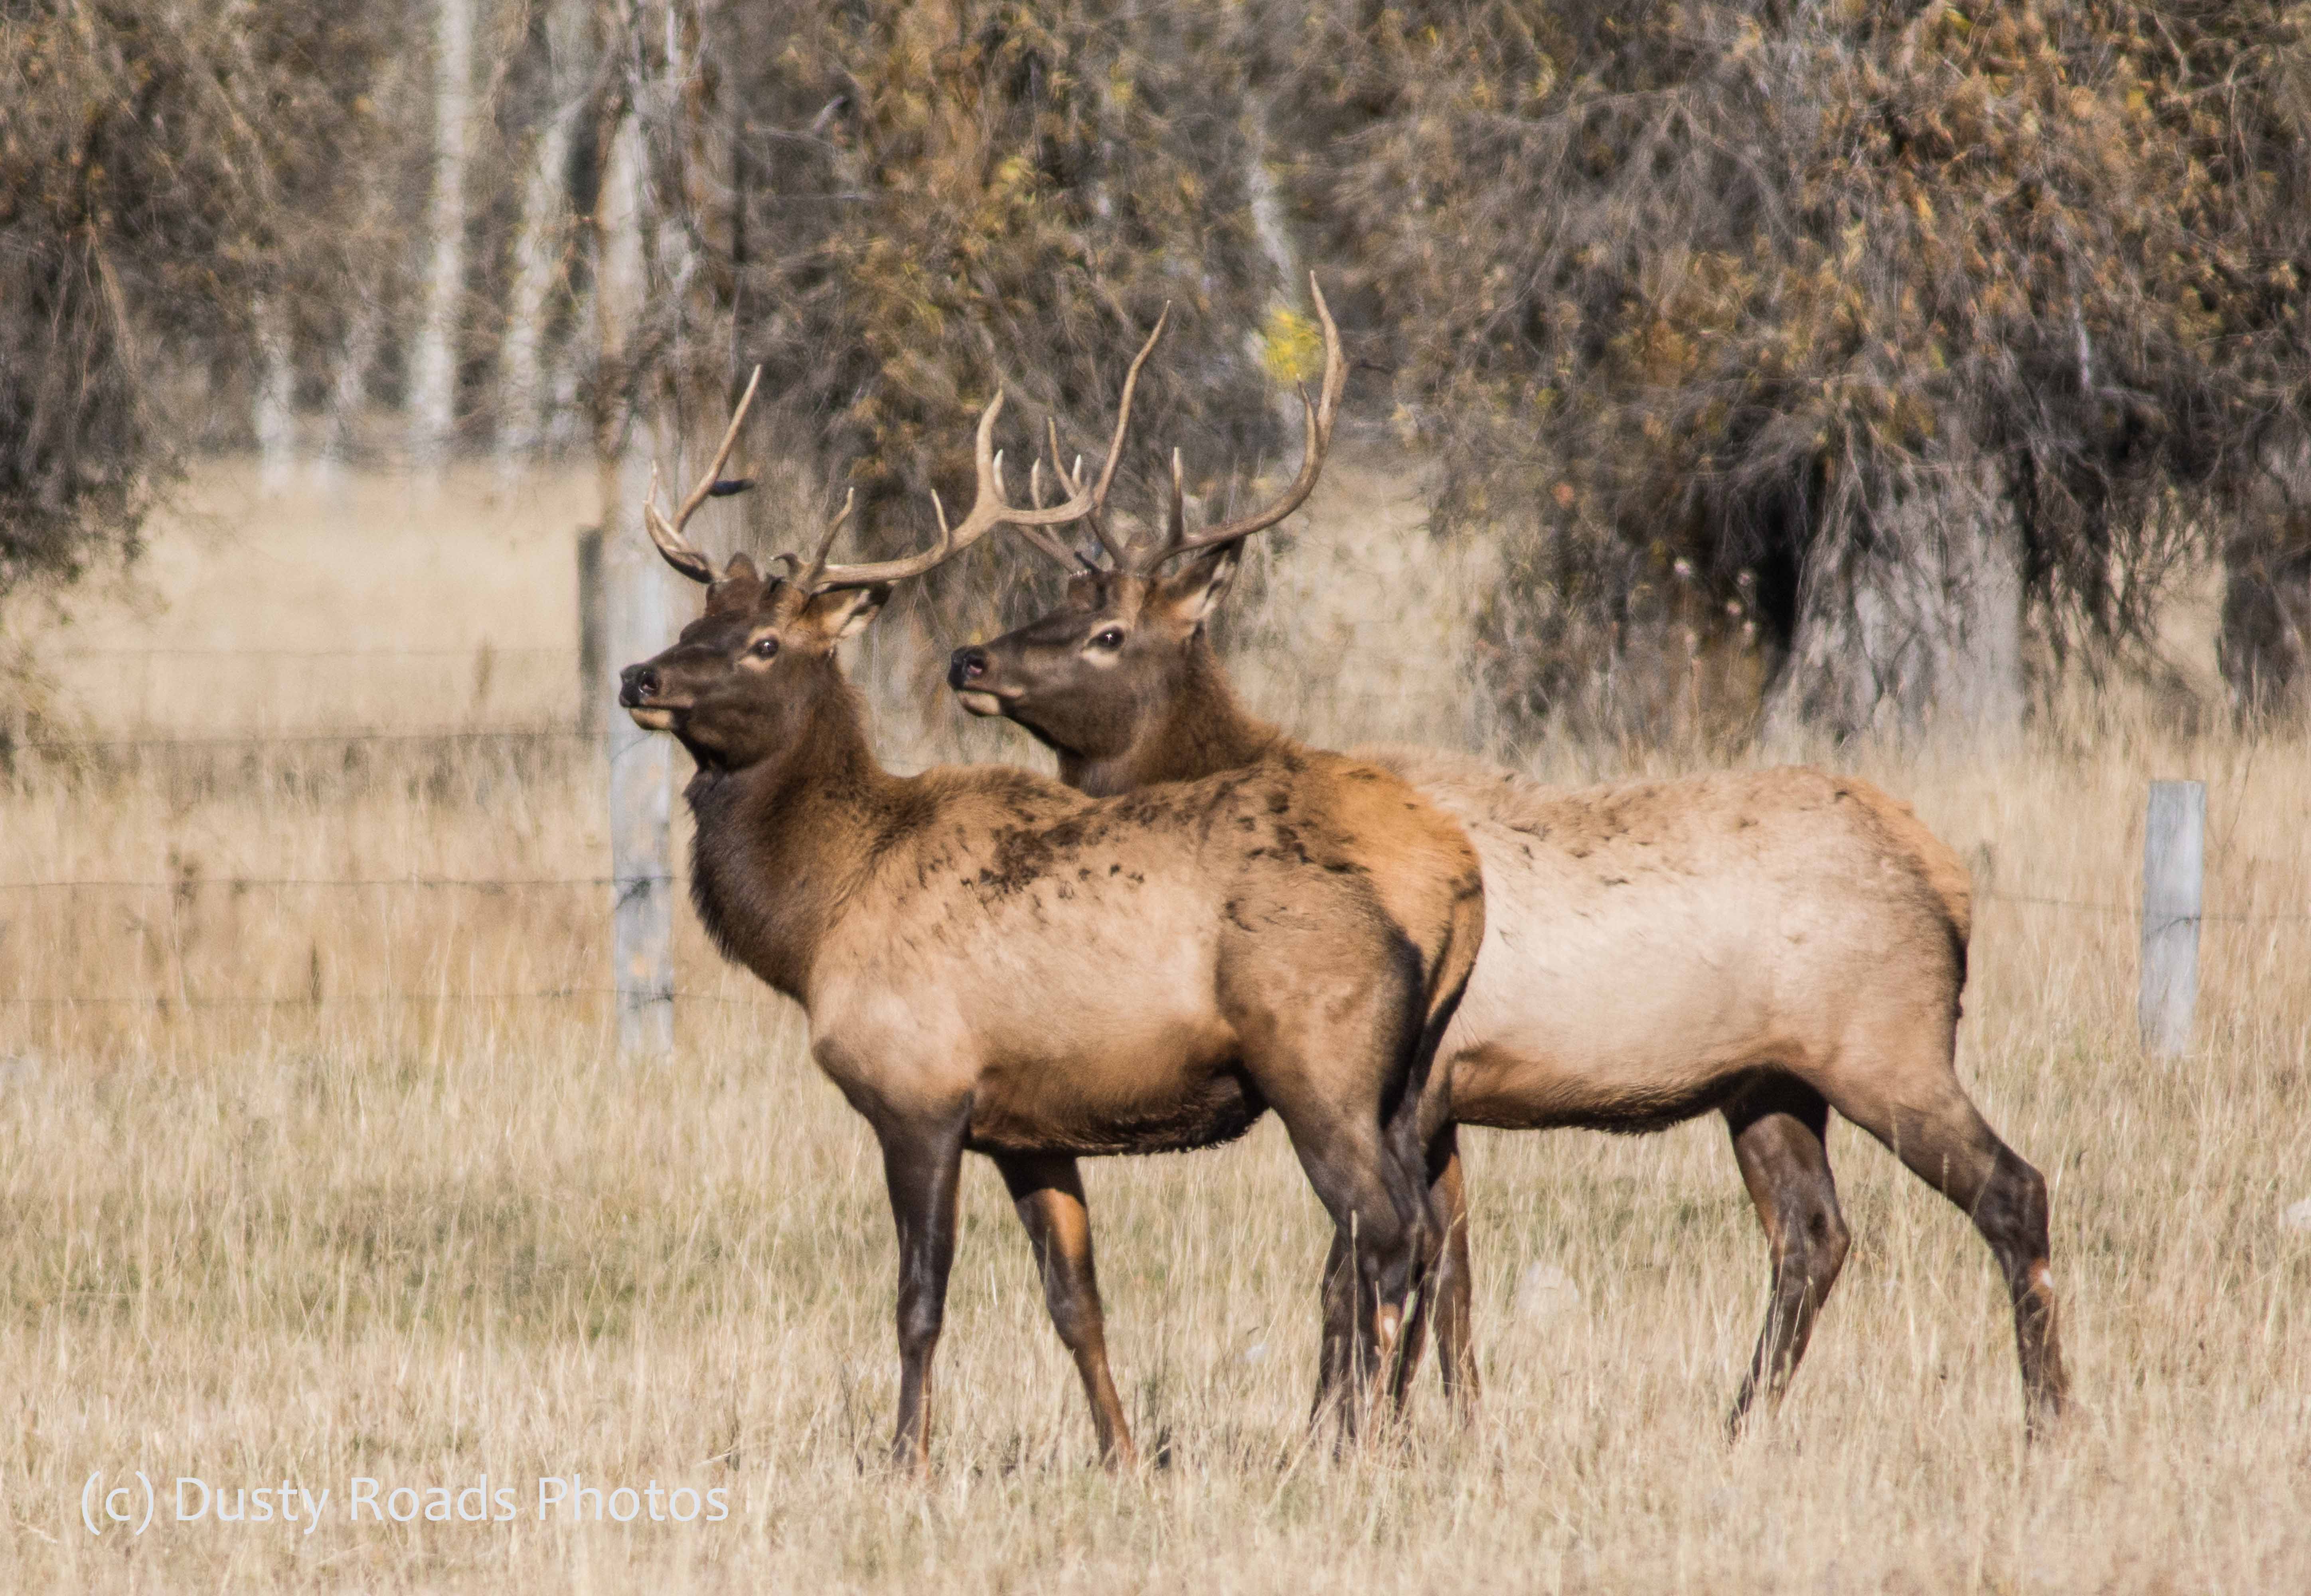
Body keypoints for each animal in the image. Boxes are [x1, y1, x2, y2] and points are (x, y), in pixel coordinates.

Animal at [616, 368, 1486, 1472]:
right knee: (1427, 1233)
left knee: (1382, 1232)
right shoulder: (1028, 1127)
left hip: (1319, 1062)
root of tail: (1458, 893)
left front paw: (906, 1460)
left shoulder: (919, 1090)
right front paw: (1122, 1453)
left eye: (765, 644)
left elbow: (919, 1302)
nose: (638, 677)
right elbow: (1076, 1302)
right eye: (696, 624)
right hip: (1411, 1078)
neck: (820, 917)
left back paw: (1353, 1444)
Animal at [945, 281, 2070, 1440]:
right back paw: (1739, 1422)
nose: (969, 659)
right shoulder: (1445, 1097)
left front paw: (1353, 1427)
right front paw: (1450, 1423)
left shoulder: (1418, 1081)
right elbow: (1450, 1272)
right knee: (1812, 1233)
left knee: (2011, 1189)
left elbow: (1377, 1266)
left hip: (1886, 1040)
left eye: (1109, 634)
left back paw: (2045, 1418)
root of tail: (1948, 878)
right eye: (1058, 604)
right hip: (1767, 1079)